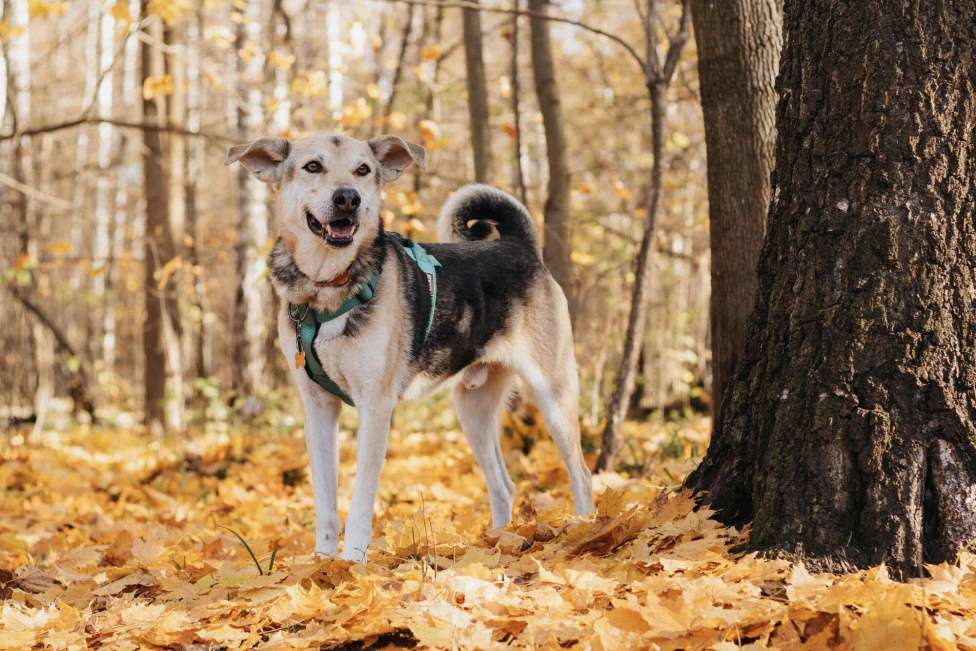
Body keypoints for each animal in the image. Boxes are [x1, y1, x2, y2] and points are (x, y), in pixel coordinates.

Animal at [227, 132, 596, 560]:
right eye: (312, 166)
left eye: (363, 169)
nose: (348, 198)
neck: (327, 287)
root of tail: (519, 246)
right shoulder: (318, 410)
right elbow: (325, 503)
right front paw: (322, 564)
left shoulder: (375, 408)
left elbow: (360, 502)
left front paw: (352, 564)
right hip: (473, 409)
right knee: (504, 485)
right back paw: (496, 543)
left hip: (554, 394)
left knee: (582, 473)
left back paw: (586, 529)